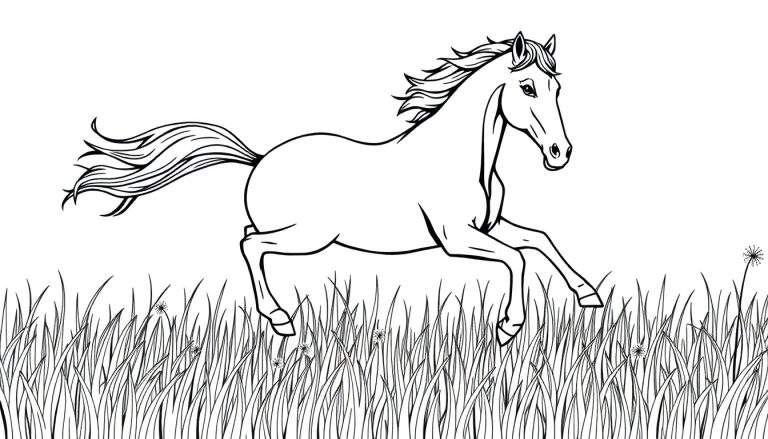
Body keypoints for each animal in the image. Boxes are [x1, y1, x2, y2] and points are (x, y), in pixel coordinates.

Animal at [64, 32, 603, 346]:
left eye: (557, 88)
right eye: (528, 88)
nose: (561, 153)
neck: (466, 159)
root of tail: (258, 159)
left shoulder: (490, 225)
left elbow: (538, 241)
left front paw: (589, 295)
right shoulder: (455, 239)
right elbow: (517, 259)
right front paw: (509, 327)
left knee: (248, 238)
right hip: (307, 237)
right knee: (250, 245)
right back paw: (280, 319)